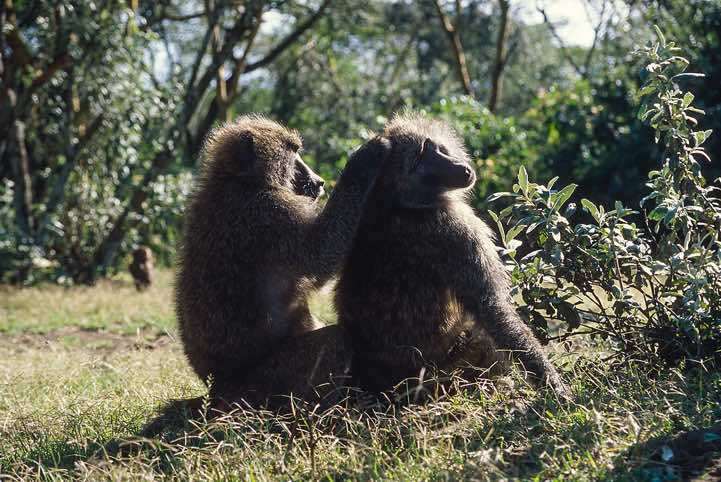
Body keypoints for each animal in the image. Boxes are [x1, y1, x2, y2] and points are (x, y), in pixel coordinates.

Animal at [175, 114, 391, 408]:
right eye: (293, 153)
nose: (319, 181)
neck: (240, 182)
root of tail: (217, 387)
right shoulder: (271, 213)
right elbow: (319, 258)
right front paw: (365, 158)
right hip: (261, 387)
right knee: (334, 342)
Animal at [335, 112, 570, 399]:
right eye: (418, 163)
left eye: (431, 147)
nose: (461, 169)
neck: (398, 202)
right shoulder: (455, 229)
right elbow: (490, 307)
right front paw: (555, 387)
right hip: (443, 372)